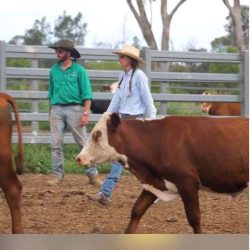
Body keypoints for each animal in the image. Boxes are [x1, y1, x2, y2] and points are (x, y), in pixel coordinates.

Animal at [77, 112, 249, 233]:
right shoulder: (154, 183)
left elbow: (194, 219)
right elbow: (136, 211)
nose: (79, 158)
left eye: (97, 134)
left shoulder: (187, 183)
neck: (157, 140)